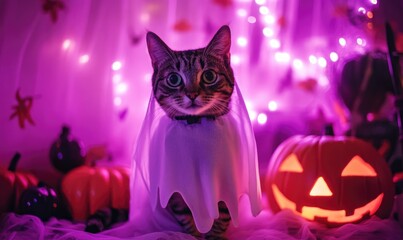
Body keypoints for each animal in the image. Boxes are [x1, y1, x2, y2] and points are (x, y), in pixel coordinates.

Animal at [147, 24, 235, 238]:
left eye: (209, 76)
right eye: (173, 78)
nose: (192, 94)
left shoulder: (227, 187)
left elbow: (220, 220)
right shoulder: (176, 194)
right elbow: (188, 220)